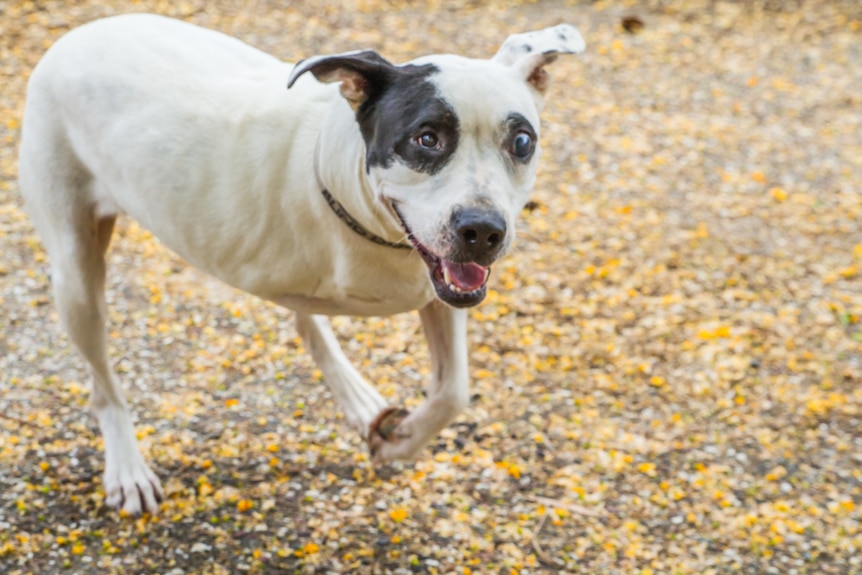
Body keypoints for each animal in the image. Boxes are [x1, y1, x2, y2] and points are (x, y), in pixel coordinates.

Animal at [18, 14, 588, 516]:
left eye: (521, 142)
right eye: (427, 138)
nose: (483, 231)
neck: (355, 201)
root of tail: (78, 34)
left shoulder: (439, 289)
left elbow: (453, 391)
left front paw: (397, 441)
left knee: (304, 320)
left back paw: (358, 399)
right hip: (76, 274)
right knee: (103, 384)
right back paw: (128, 468)